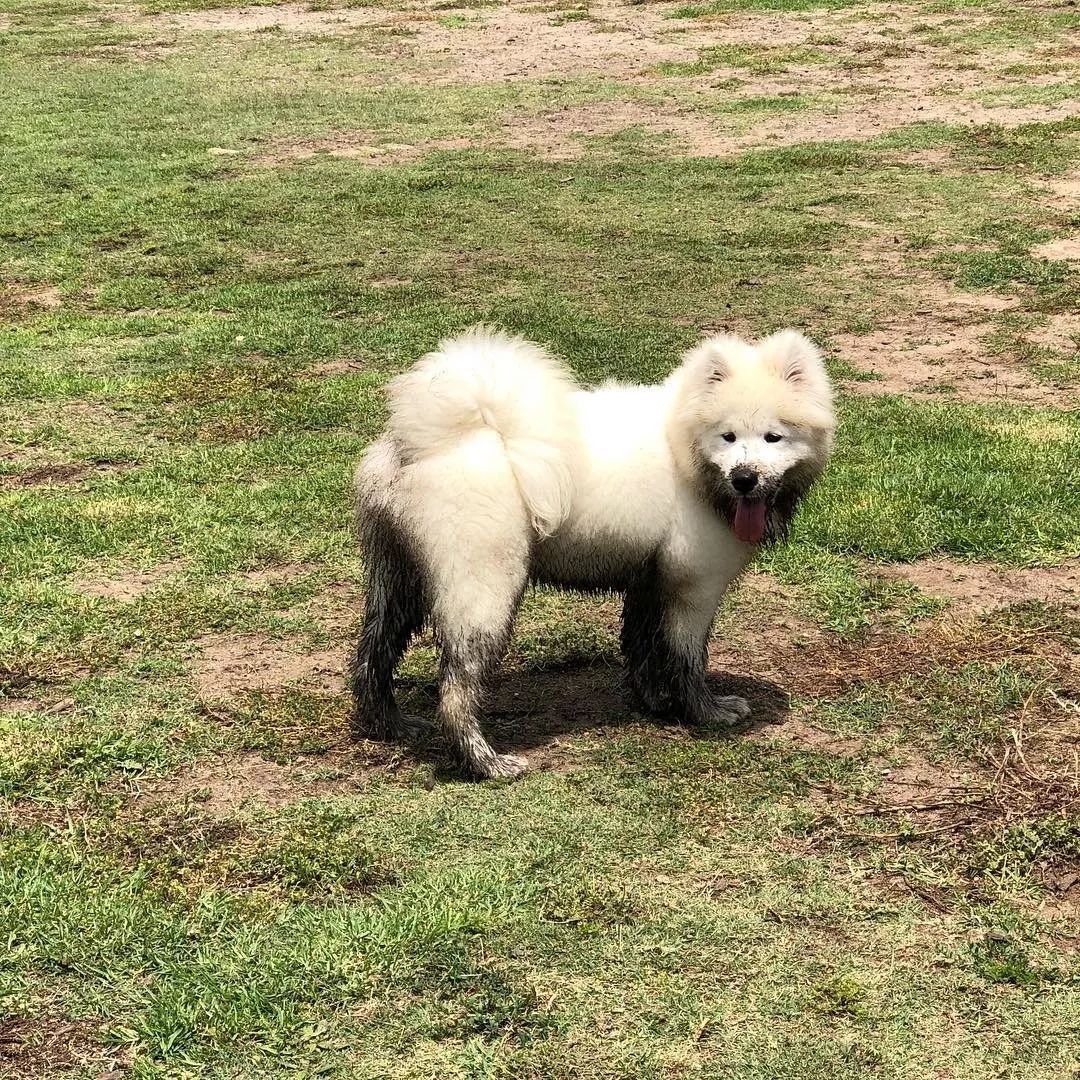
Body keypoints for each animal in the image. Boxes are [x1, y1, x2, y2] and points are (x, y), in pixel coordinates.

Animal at [347, 324, 833, 781]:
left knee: (373, 652)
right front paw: (707, 712)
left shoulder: (648, 578)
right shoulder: (693, 586)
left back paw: (391, 726)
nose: (745, 478)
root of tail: (424, 443)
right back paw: (486, 763)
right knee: (455, 690)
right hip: (484, 589)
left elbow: (642, 647)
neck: (685, 447)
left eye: (773, 437)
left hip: (398, 581)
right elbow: (687, 658)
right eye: (728, 437)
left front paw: (655, 703)